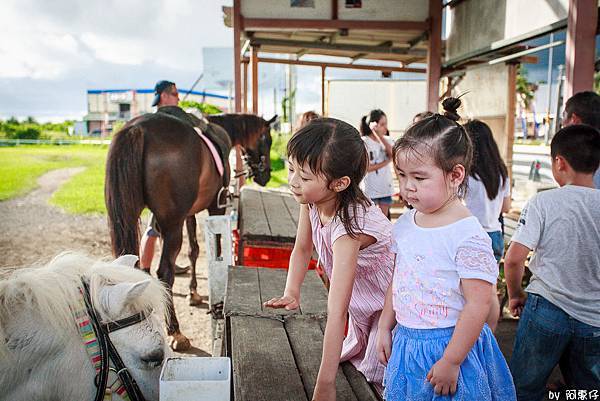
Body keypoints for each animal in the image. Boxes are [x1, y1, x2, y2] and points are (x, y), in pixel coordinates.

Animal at [105, 111, 274, 348]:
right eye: (267, 140)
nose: (265, 175)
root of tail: (137, 129)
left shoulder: (189, 214)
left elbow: (193, 250)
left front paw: (193, 293)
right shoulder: (215, 207)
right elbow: (213, 247)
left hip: (132, 217)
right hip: (172, 225)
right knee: (165, 272)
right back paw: (175, 331)